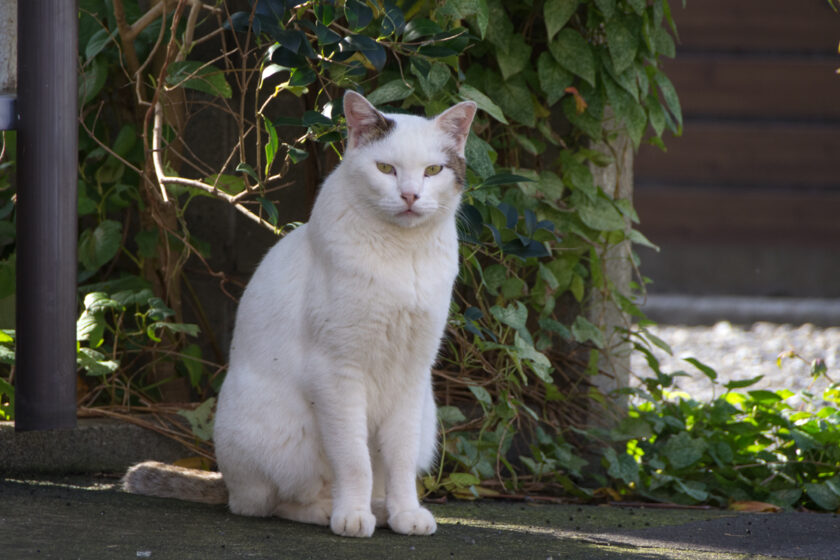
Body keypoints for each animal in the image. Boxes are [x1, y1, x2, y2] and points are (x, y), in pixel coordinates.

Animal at [124, 93, 480, 540]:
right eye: (386, 169)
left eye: (433, 170)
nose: (411, 196)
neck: (401, 254)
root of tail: (228, 482)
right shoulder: (338, 372)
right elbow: (354, 460)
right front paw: (352, 516)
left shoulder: (412, 373)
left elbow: (398, 460)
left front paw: (406, 513)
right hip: (285, 438)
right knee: (272, 504)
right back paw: (336, 510)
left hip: (427, 419)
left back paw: (382, 509)